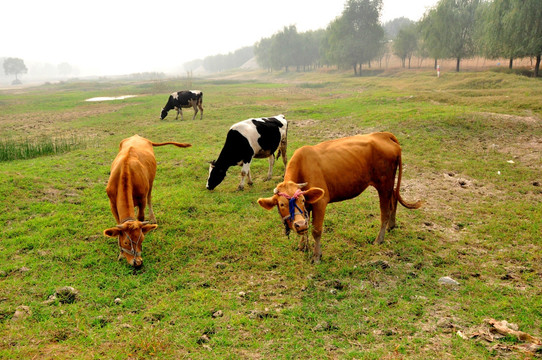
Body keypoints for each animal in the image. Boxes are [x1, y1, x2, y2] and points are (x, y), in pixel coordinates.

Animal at [103, 135, 192, 268]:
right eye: (126, 242)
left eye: (142, 239)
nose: (138, 262)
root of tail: (138, 136)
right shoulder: (112, 203)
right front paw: (121, 254)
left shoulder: (142, 200)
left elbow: (141, 217)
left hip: (151, 182)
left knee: (150, 197)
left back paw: (153, 217)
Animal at [258, 131, 422, 262]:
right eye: (282, 204)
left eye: (302, 200)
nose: (300, 225)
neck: (302, 167)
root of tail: (383, 135)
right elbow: (305, 221)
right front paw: (302, 245)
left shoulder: (320, 202)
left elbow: (316, 230)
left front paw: (316, 256)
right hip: (388, 183)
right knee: (394, 200)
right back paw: (391, 226)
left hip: (384, 183)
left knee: (385, 211)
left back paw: (379, 239)